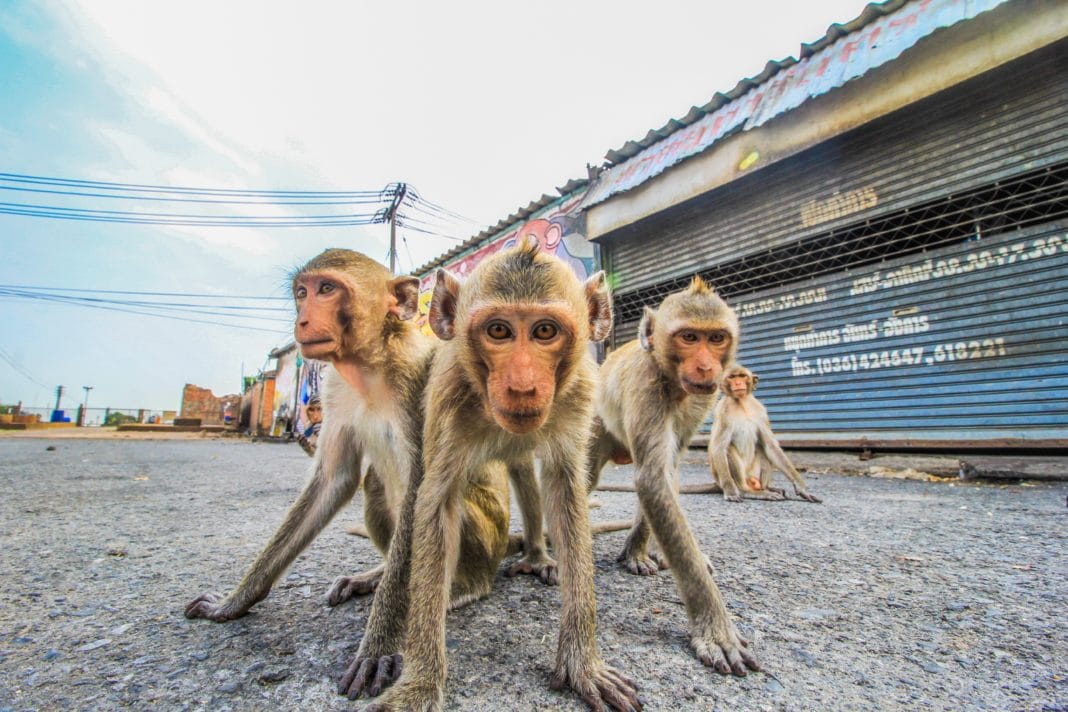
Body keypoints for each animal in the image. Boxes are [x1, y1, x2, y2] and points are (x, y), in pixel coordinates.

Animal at [346, 239, 640, 712]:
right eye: (499, 331)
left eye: (544, 331)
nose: (521, 386)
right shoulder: (447, 393)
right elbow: (435, 506)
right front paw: (420, 681)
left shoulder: (579, 393)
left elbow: (566, 492)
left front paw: (582, 662)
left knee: (526, 473)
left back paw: (537, 555)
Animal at [585, 275, 760, 678]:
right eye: (689, 337)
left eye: (716, 338)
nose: (706, 367)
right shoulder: (646, 386)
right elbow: (653, 480)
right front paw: (715, 630)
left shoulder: (702, 399)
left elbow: (666, 472)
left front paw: (637, 550)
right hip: (596, 424)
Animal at [704, 365, 820, 503]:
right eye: (732, 377)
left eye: (742, 376)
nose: (737, 383)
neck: (742, 404)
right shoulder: (722, 412)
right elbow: (719, 448)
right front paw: (731, 492)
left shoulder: (761, 411)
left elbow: (771, 446)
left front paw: (801, 487)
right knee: (728, 449)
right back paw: (747, 491)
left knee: (763, 449)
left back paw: (768, 488)